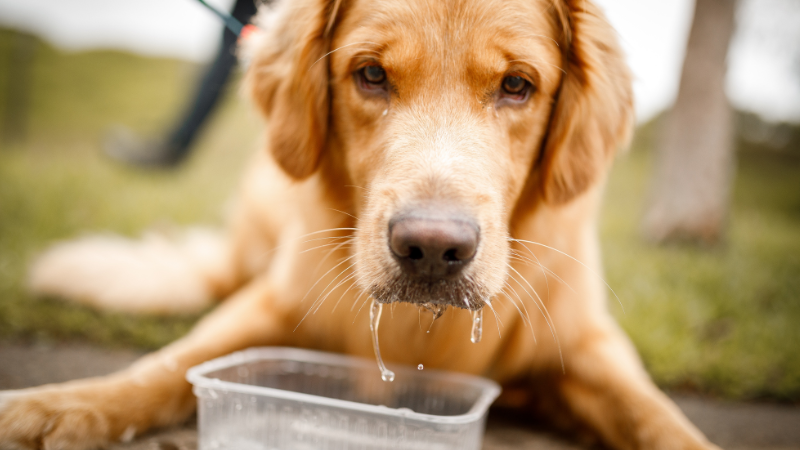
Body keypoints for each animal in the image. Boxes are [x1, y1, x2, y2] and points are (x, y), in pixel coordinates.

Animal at [0, 0, 720, 448]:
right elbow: (166, 366)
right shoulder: (271, 301)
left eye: (517, 85)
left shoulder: (591, 343)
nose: (432, 249)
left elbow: (660, 417)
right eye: (371, 74)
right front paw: (54, 406)